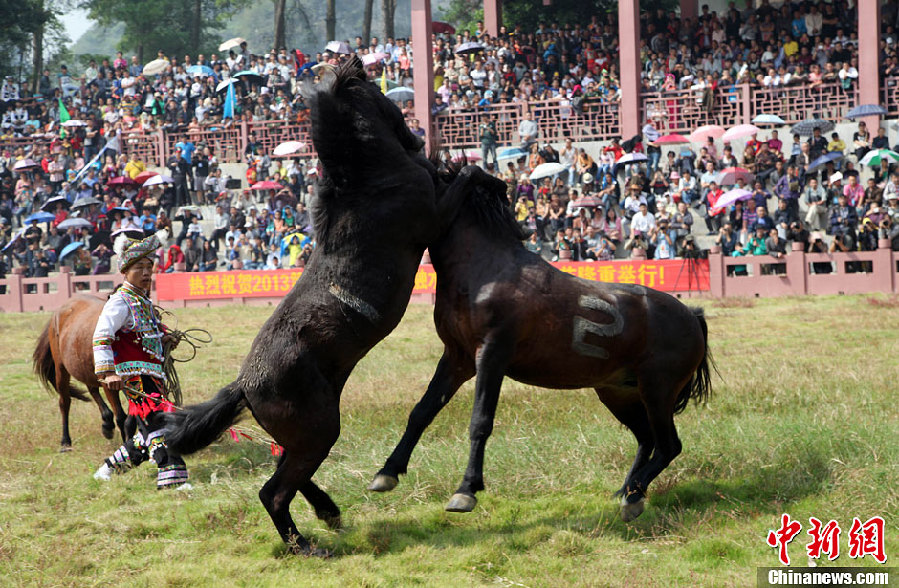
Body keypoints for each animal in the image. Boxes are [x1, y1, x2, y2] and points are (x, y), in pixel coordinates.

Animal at [31, 296, 128, 452]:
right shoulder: (110, 383)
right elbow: (121, 416)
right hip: (61, 370)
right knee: (65, 402)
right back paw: (65, 440)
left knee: (93, 390)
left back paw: (107, 423)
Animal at [165, 57, 468, 552]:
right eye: (380, 93)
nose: (420, 135)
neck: (369, 177)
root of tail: (244, 384)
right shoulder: (435, 214)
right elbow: (466, 177)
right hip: (319, 430)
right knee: (273, 491)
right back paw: (306, 544)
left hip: (305, 434)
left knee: (288, 475)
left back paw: (328, 513)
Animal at [370, 168, 712, 520]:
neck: (486, 270)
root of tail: (692, 314)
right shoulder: (457, 358)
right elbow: (421, 411)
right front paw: (387, 473)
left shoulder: (492, 354)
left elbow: (480, 421)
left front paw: (466, 490)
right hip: (617, 392)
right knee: (647, 439)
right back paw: (628, 490)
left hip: (657, 389)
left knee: (669, 445)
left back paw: (633, 496)